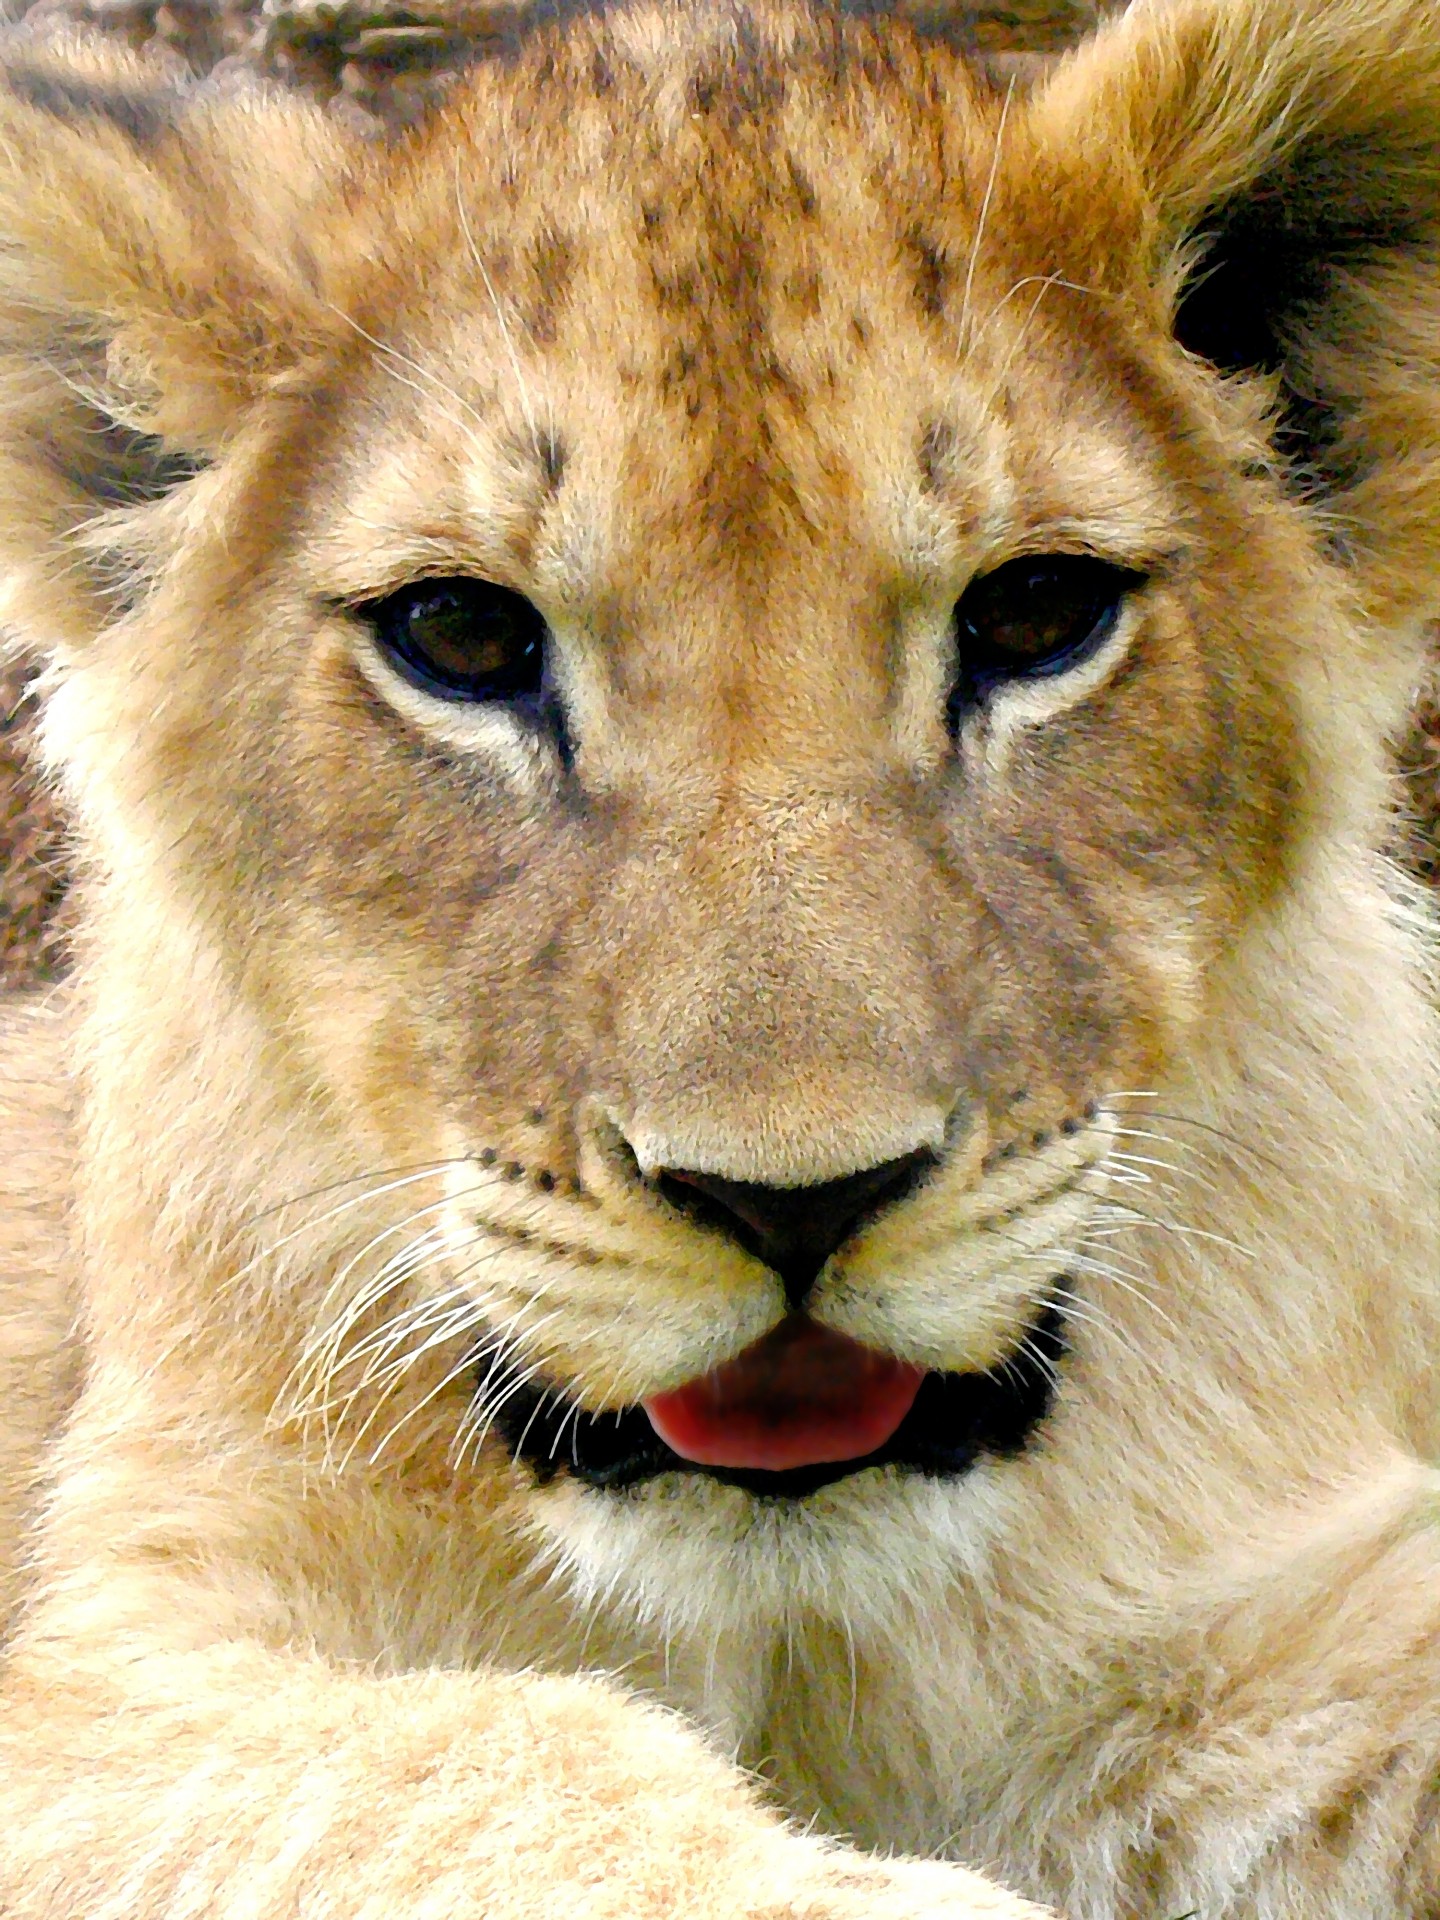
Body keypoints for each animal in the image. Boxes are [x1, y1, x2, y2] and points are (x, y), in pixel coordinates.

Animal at [0, 0, 1437, 1913]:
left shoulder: (1243, 1614)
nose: (794, 1204)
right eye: (460, 639)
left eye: (1037, 617)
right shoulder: (113, 1666)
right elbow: (472, 1768)